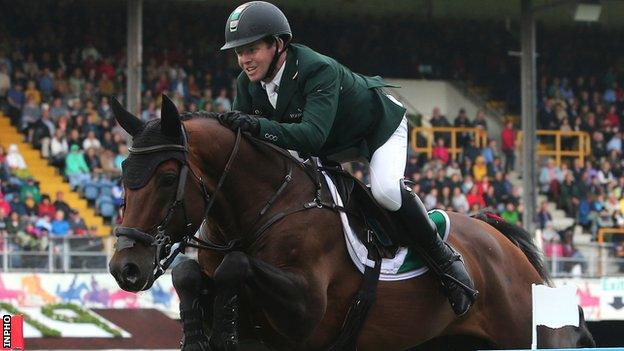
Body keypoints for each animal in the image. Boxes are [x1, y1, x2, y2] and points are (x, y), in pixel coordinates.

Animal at [108, 95, 596, 350]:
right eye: (122, 173)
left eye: (167, 177)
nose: (124, 268)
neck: (262, 210)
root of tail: (502, 240)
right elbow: (189, 273)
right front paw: (198, 333)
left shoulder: (305, 308)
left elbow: (236, 267)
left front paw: (223, 329)